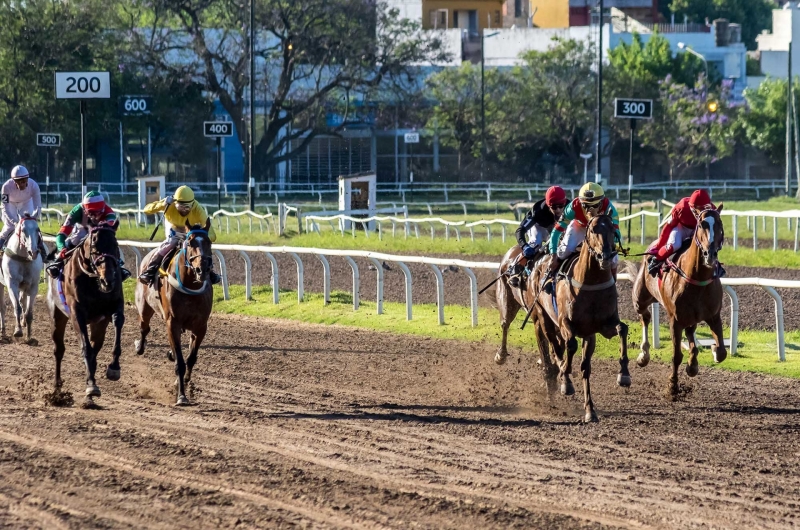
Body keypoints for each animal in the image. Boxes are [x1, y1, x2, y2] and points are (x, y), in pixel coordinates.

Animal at [0, 210, 45, 342]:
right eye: (23, 229)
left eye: (37, 229)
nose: (33, 252)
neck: (23, 258)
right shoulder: (12, 284)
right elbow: (17, 307)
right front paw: (18, 331)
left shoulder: (33, 286)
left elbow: (28, 312)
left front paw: (29, 336)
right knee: (2, 307)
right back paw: (3, 332)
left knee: (23, 301)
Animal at [46, 223, 125, 404]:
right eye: (95, 248)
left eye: (115, 246)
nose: (108, 280)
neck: (93, 280)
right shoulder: (77, 314)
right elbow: (86, 348)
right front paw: (91, 386)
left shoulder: (115, 304)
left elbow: (118, 321)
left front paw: (114, 368)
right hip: (57, 316)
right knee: (59, 349)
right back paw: (57, 388)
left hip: (98, 324)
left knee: (96, 347)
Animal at [136, 219, 214, 404]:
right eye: (190, 242)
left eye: (209, 242)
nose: (202, 269)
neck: (190, 286)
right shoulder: (172, 323)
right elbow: (180, 362)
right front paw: (181, 396)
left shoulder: (201, 326)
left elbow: (191, 358)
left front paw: (184, 381)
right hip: (144, 306)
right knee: (144, 328)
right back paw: (140, 347)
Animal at [528, 212, 628, 422]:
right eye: (593, 230)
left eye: (613, 229)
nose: (606, 257)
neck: (591, 281)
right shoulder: (565, 323)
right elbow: (569, 346)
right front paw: (566, 382)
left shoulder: (601, 327)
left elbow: (622, 328)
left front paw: (624, 375)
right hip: (544, 317)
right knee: (556, 348)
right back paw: (561, 377)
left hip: (587, 335)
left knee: (582, 365)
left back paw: (590, 409)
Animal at [628, 206, 728, 396]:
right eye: (702, 224)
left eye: (720, 224)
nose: (710, 254)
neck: (696, 278)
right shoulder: (675, 320)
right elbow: (676, 356)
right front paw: (673, 385)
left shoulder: (714, 316)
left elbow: (721, 352)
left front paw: (701, 358)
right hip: (640, 298)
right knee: (645, 317)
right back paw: (643, 355)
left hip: (691, 317)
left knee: (690, 332)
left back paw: (692, 364)